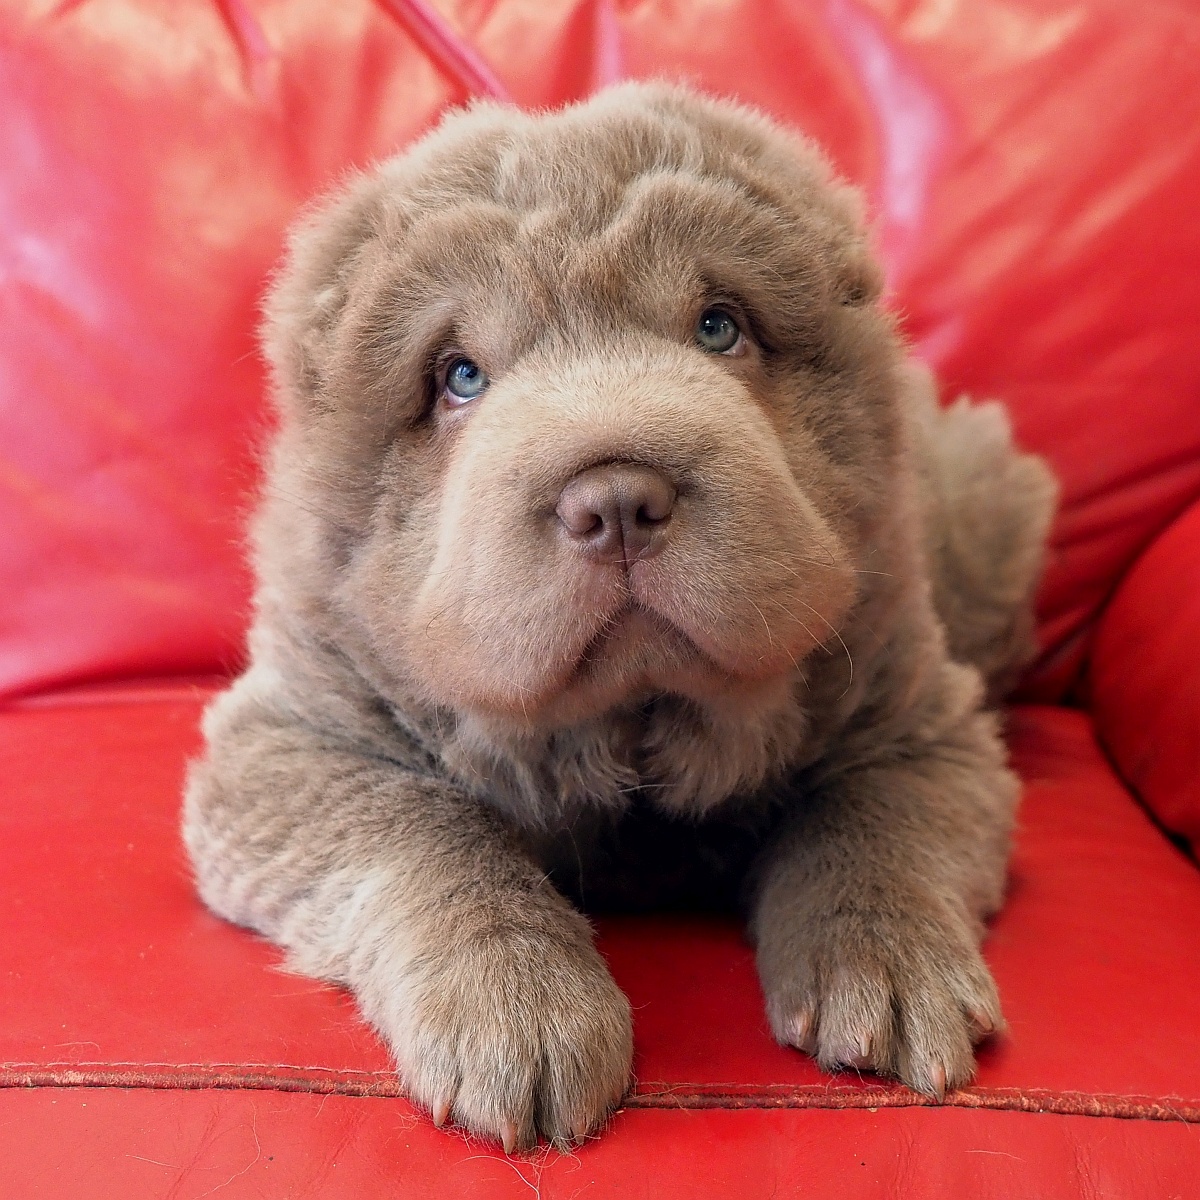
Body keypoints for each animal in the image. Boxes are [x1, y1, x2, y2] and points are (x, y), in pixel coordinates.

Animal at [182, 79, 1056, 1147]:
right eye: (458, 376)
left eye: (719, 327)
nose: (618, 499)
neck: (633, 731)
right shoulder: (294, 740)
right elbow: (424, 830)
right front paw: (518, 1013)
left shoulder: (915, 722)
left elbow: (870, 822)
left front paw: (889, 976)